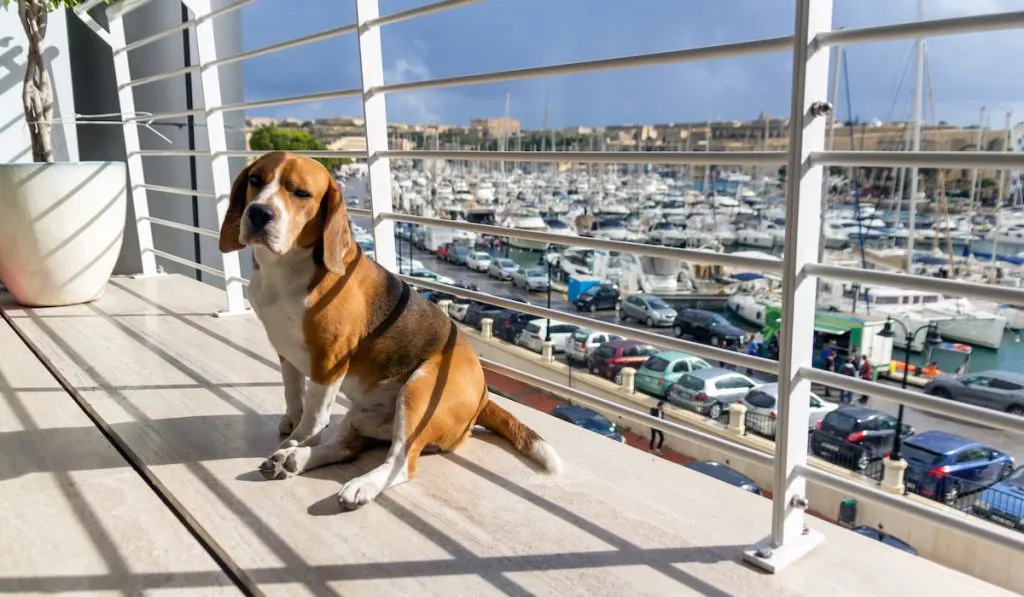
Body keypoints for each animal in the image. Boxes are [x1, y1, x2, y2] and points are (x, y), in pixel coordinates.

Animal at [219, 152, 565, 509]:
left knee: (401, 463)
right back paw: (294, 461)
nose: (259, 213)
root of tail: (483, 397)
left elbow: (313, 415)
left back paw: (358, 483)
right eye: (255, 180)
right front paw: (292, 428)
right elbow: (293, 392)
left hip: (418, 391)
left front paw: (297, 439)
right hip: (361, 413)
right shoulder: (285, 350)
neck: (285, 269)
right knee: (347, 447)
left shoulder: (328, 362)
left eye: (301, 193)